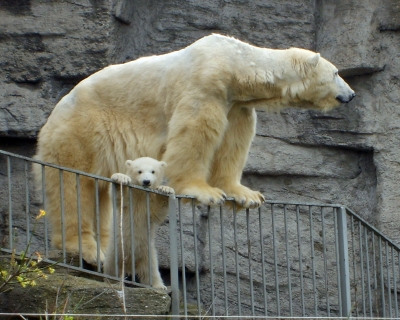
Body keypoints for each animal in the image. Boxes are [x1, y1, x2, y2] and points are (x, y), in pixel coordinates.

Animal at [32, 33, 354, 264]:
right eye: (337, 73)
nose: (350, 95)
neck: (236, 64)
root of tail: (51, 118)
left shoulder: (236, 104)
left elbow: (233, 142)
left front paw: (246, 195)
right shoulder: (205, 86)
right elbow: (194, 134)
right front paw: (203, 191)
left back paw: (104, 248)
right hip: (81, 132)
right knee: (73, 184)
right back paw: (85, 248)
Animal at [103, 158, 173, 290]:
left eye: (153, 171)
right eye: (139, 171)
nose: (146, 181)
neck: (140, 194)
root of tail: (130, 264)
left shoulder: (148, 205)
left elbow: (157, 212)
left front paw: (165, 189)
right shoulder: (129, 202)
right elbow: (119, 198)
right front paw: (121, 178)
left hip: (148, 253)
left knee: (151, 270)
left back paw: (159, 286)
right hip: (115, 250)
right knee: (112, 268)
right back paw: (115, 283)